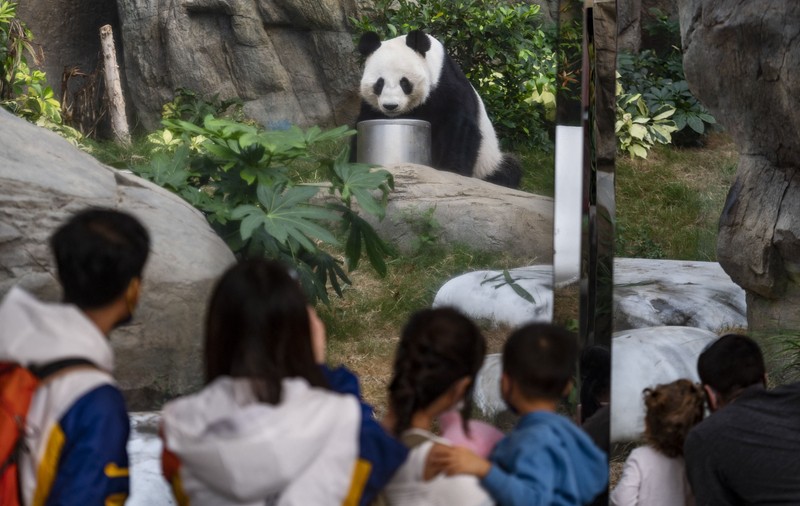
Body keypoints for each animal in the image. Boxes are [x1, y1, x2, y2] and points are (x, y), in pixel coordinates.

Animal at [354, 30, 522, 189]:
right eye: (379, 83)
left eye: (404, 82)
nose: (390, 106)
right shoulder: (372, 107)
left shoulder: (447, 86)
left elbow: (460, 127)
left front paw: (452, 171)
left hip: (489, 161)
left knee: (508, 169)